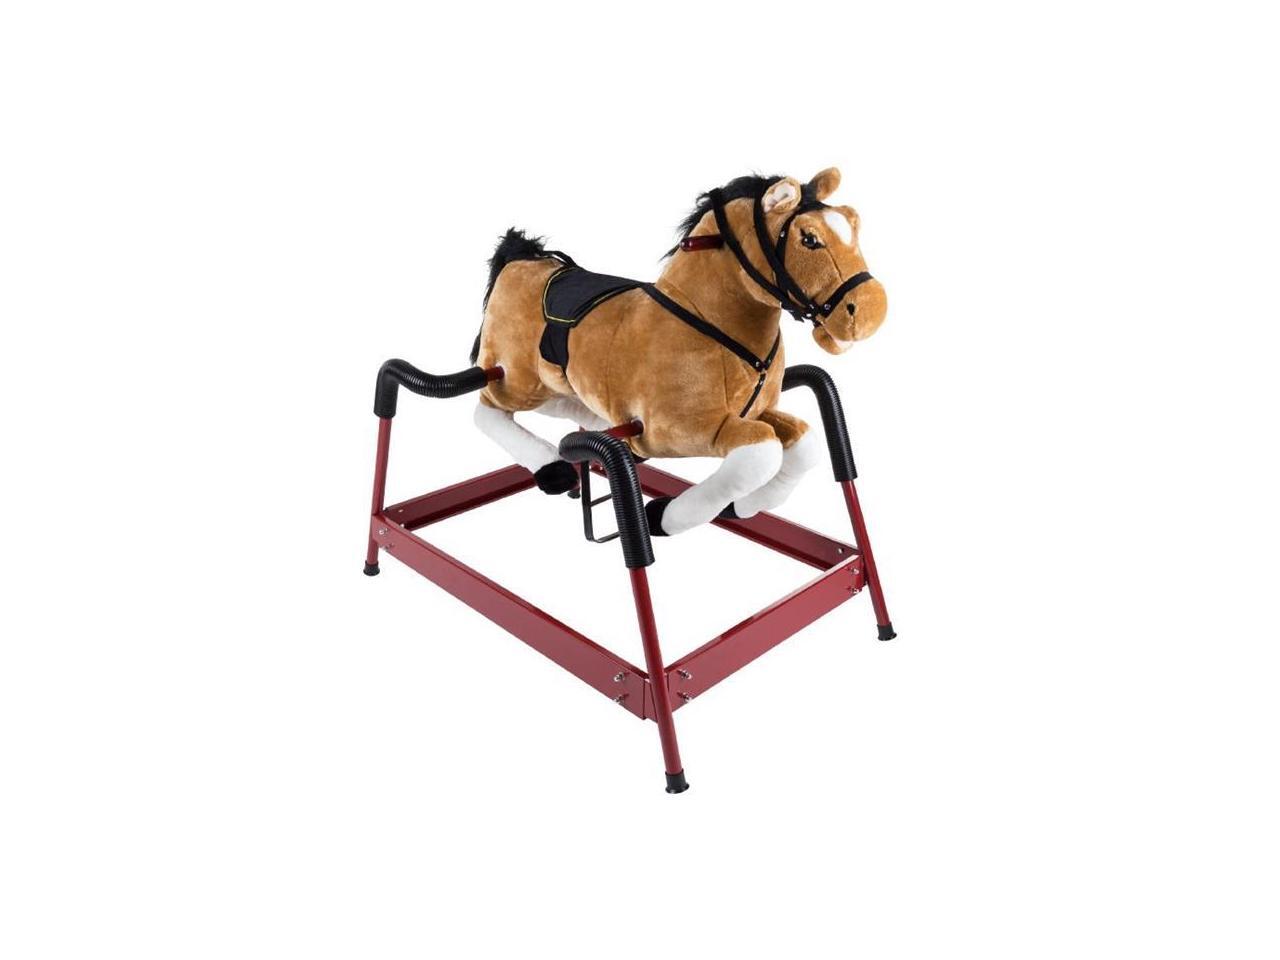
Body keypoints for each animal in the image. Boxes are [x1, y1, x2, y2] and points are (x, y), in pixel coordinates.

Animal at [470, 167, 888, 536]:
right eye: (809, 239)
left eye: (853, 223)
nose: (873, 310)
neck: (704, 321)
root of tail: (520, 257)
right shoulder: (675, 431)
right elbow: (761, 455)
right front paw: (663, 518)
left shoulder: (759, 412)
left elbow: (805, 444)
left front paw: (743, 507)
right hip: (515, 377)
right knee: (487, 410)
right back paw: (551, 465)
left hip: (556, 385)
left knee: (561, 407)